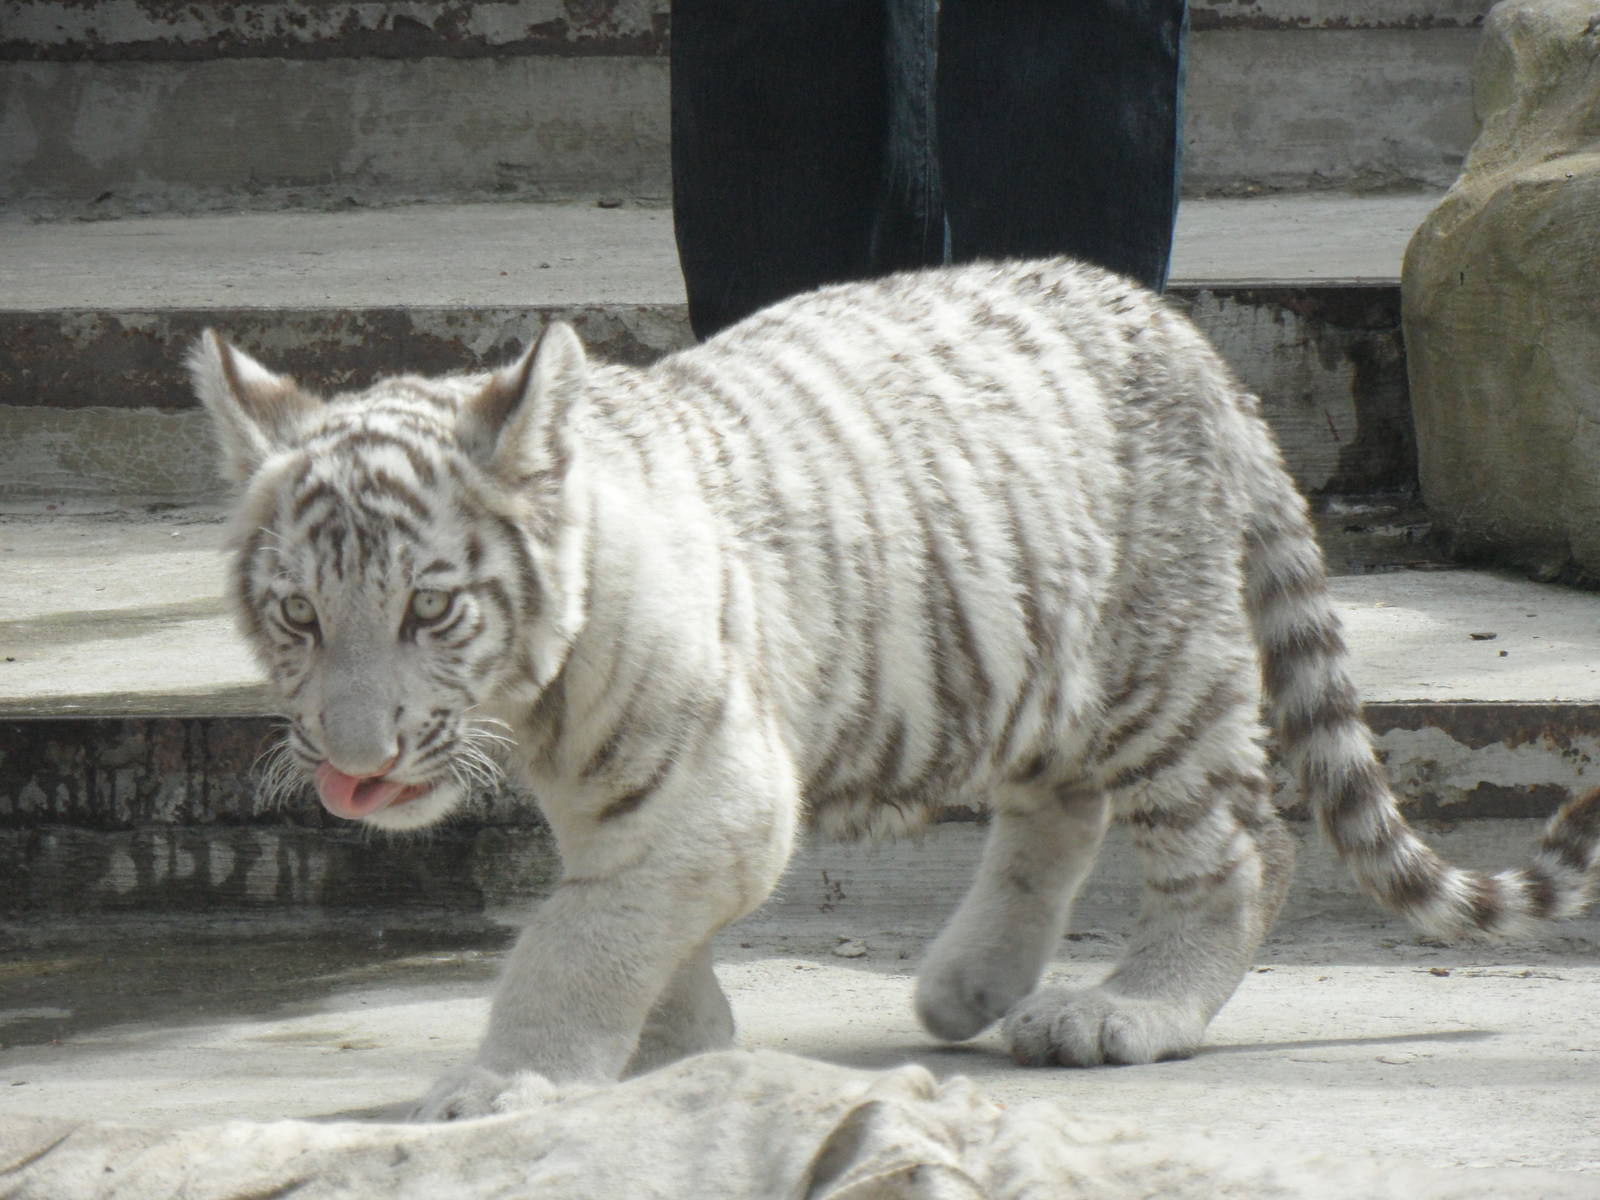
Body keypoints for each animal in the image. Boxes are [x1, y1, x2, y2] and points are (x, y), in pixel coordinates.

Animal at [190, 257, 1600, 1121]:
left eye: (430, 609)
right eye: (299, 615)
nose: (353, 764)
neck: (535, 702)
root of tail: (1191, 342)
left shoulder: (717, 790)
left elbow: (573, 943)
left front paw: (509, 1085)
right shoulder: (628, 809)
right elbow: (633, 924)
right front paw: (684, 1043)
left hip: (1161, 665)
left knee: (1241, 844)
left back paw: (1122, 1012)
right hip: (1033, 647)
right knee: (1057, 813)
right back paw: (967, 987)